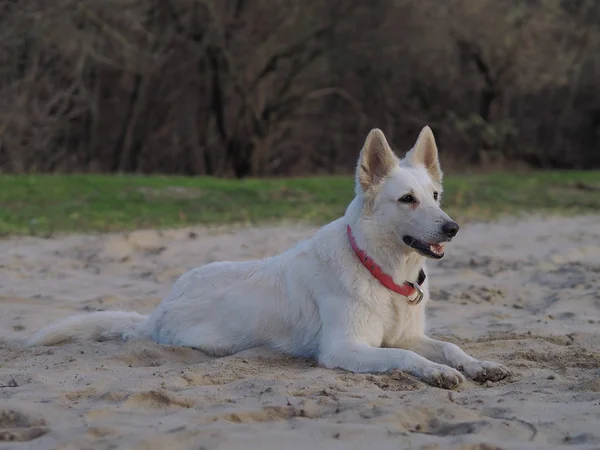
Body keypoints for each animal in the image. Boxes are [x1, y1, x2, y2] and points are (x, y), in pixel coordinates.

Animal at [29, 128, 510, 388]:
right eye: (407, 199)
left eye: (435, 196)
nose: (452, 228)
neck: (378, 270)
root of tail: (158, 310)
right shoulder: (346, 348)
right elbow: (410, 360)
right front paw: (439, 374)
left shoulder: (406, 335)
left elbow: (448, 346)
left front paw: (478, 365)